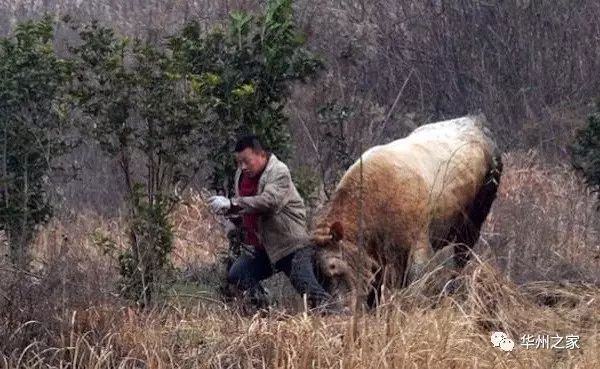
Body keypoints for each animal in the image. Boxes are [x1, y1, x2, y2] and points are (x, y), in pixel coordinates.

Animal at [310, 114, 502, 304]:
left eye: (333, 267)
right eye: (318, 276)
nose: (338, 307)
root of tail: (477, 122)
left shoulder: (419, 247)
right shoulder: (380, 259)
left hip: (472, 224)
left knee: (461, 259)